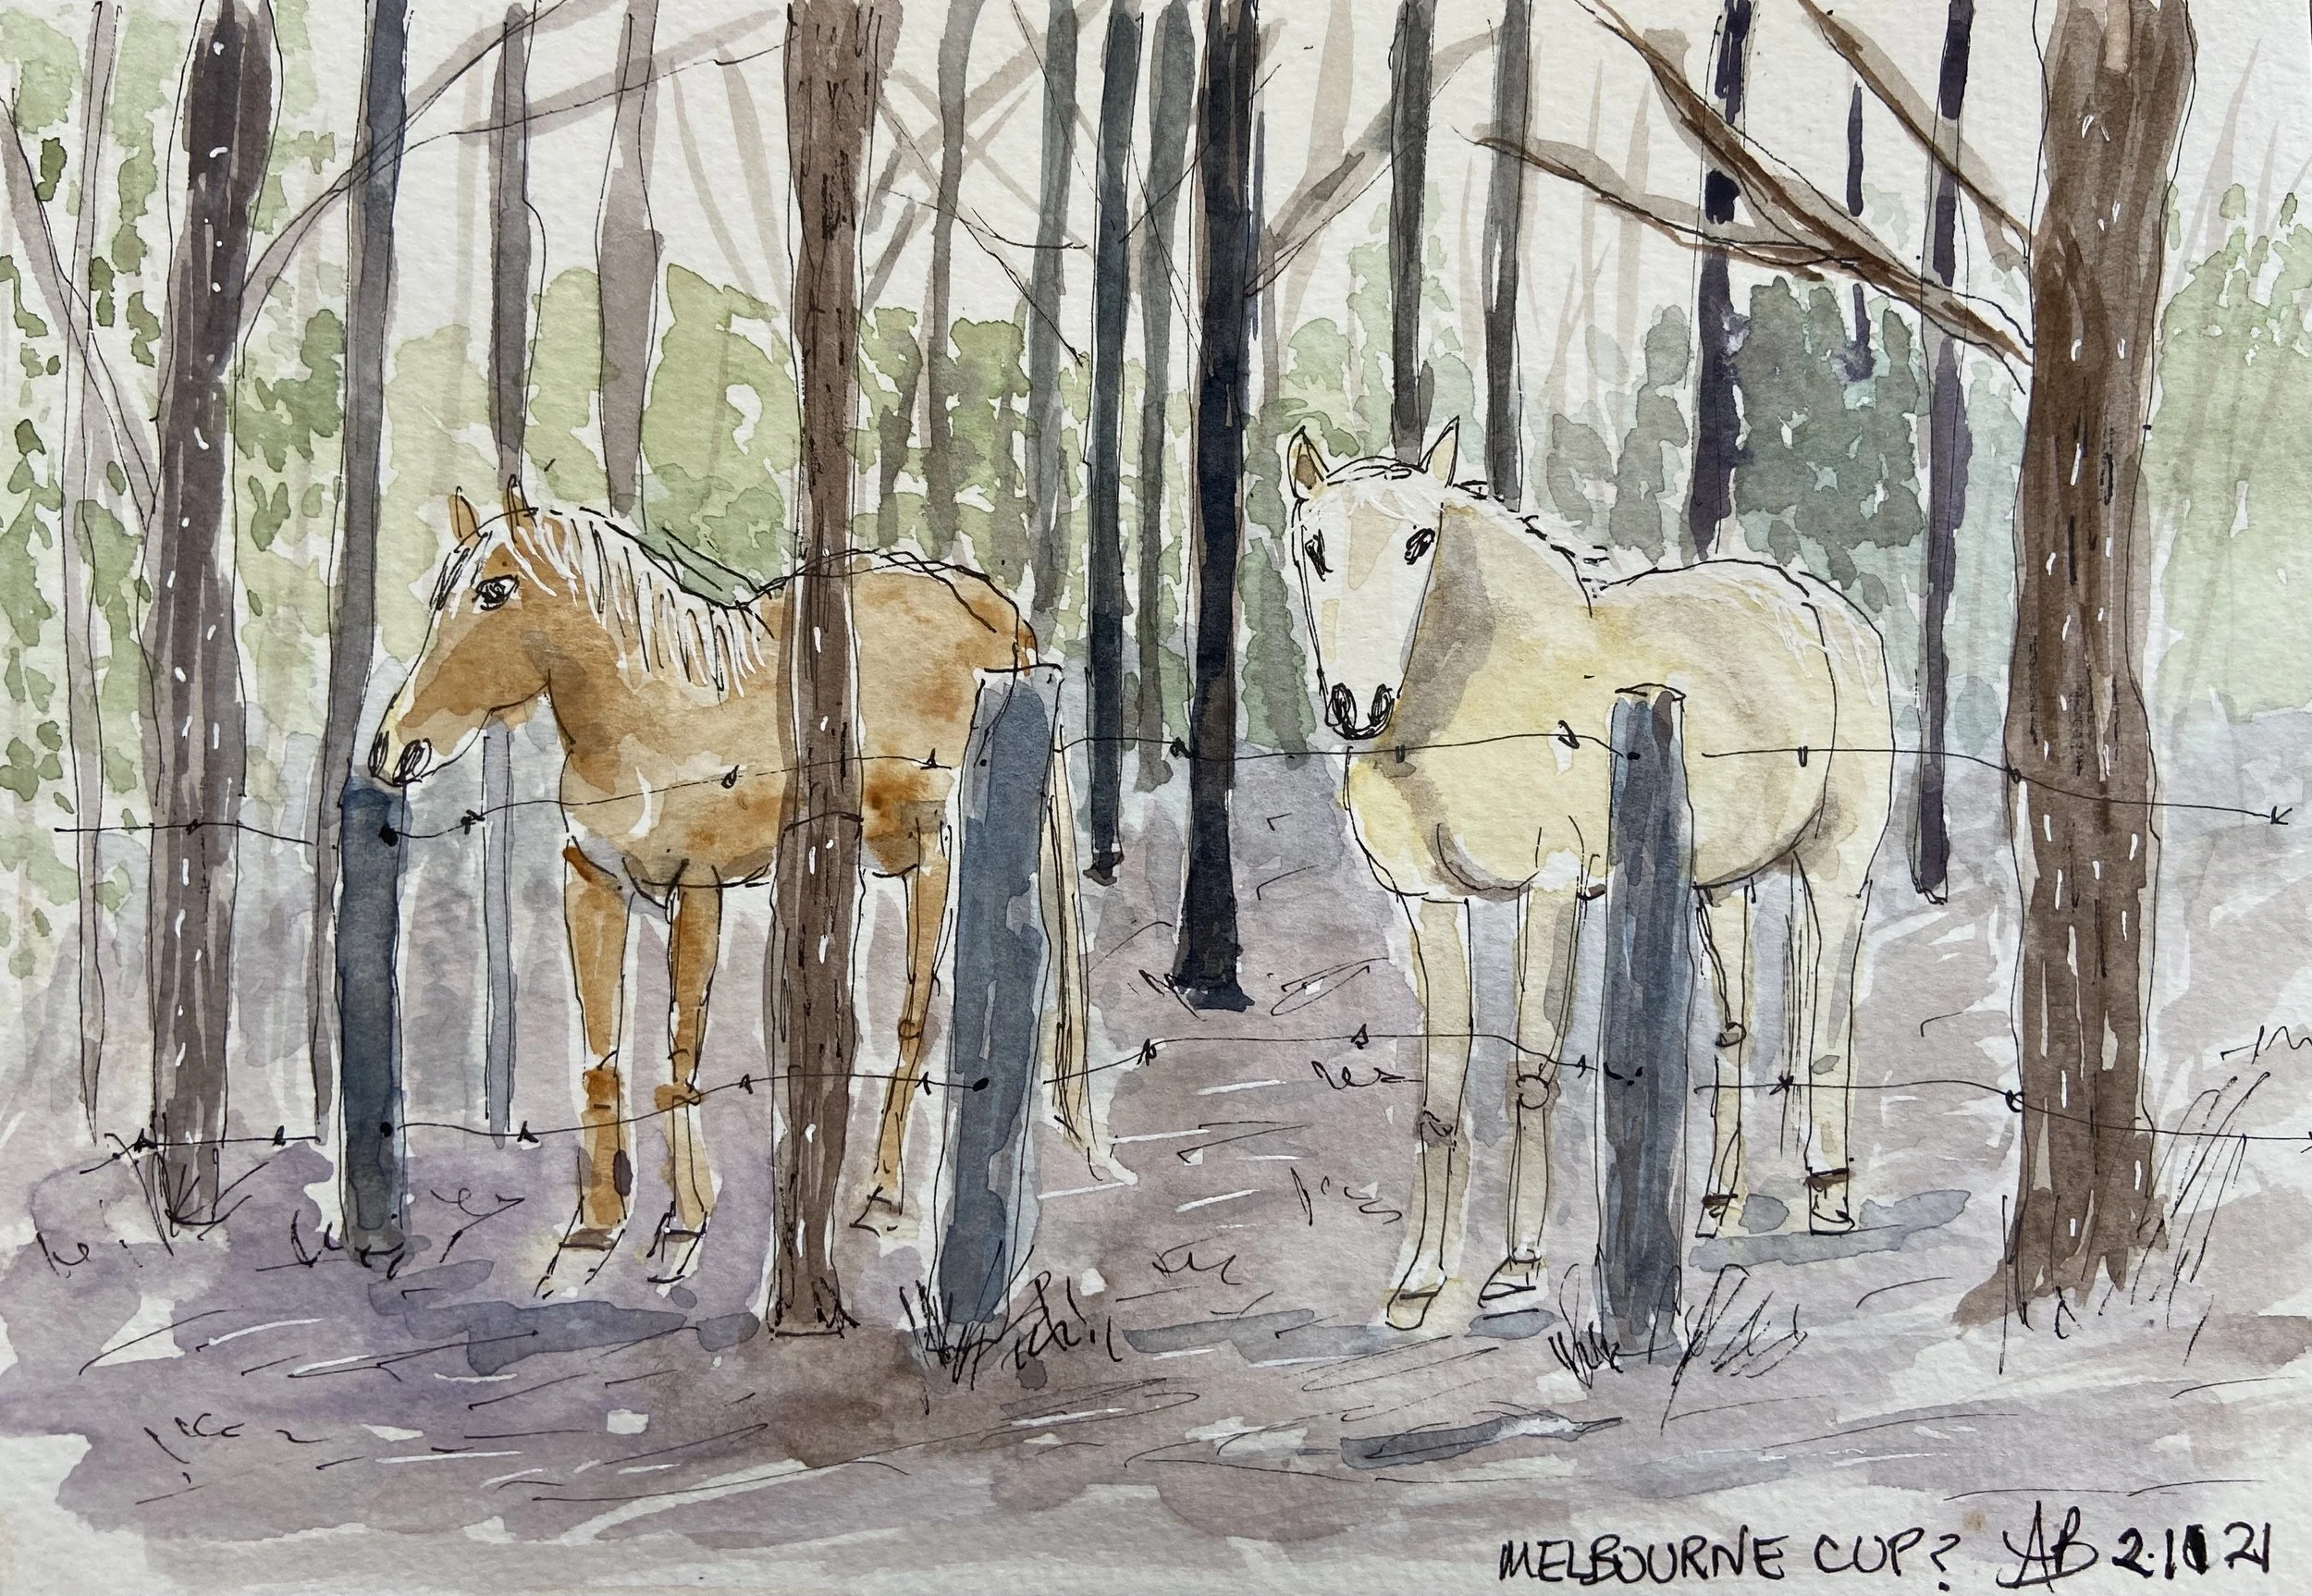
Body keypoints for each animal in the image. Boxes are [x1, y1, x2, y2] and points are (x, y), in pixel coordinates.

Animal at [371, 484, 1091, 1282]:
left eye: (495, 590)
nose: (395, 750)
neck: (645, 723)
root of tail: (988, 605)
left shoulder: (699, 889)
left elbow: (678, 1055)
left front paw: (685, 1223)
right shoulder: (591, 883)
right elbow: (600, 1057)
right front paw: (596, 1225)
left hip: (925, 849)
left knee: (917, 1013)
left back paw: (881, 1192)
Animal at [1284, 422, 1893, 1331]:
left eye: (1420, 541)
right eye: (1314, 546)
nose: (1360, 704)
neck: (1482, 693)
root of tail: (1832, 614)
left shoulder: (1552, 890)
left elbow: (1529, 1074)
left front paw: (1515, 1268)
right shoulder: (1429, 904)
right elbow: (1440, 1097)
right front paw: (1418, 1284)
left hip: (1837, 867)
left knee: (1827, 1020)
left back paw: (1829, 1195)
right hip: (1719, 887)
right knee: (1736, 1027)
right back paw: (1717, 1205)